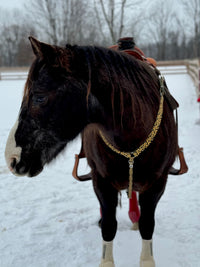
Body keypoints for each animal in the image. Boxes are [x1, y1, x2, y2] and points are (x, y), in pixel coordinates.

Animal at [4, 36, 177, 266]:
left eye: (39, 97)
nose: (11, 158)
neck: (133, 133)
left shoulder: (157, 183)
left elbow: (147, 226)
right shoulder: (101, 182)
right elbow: (109, 227)